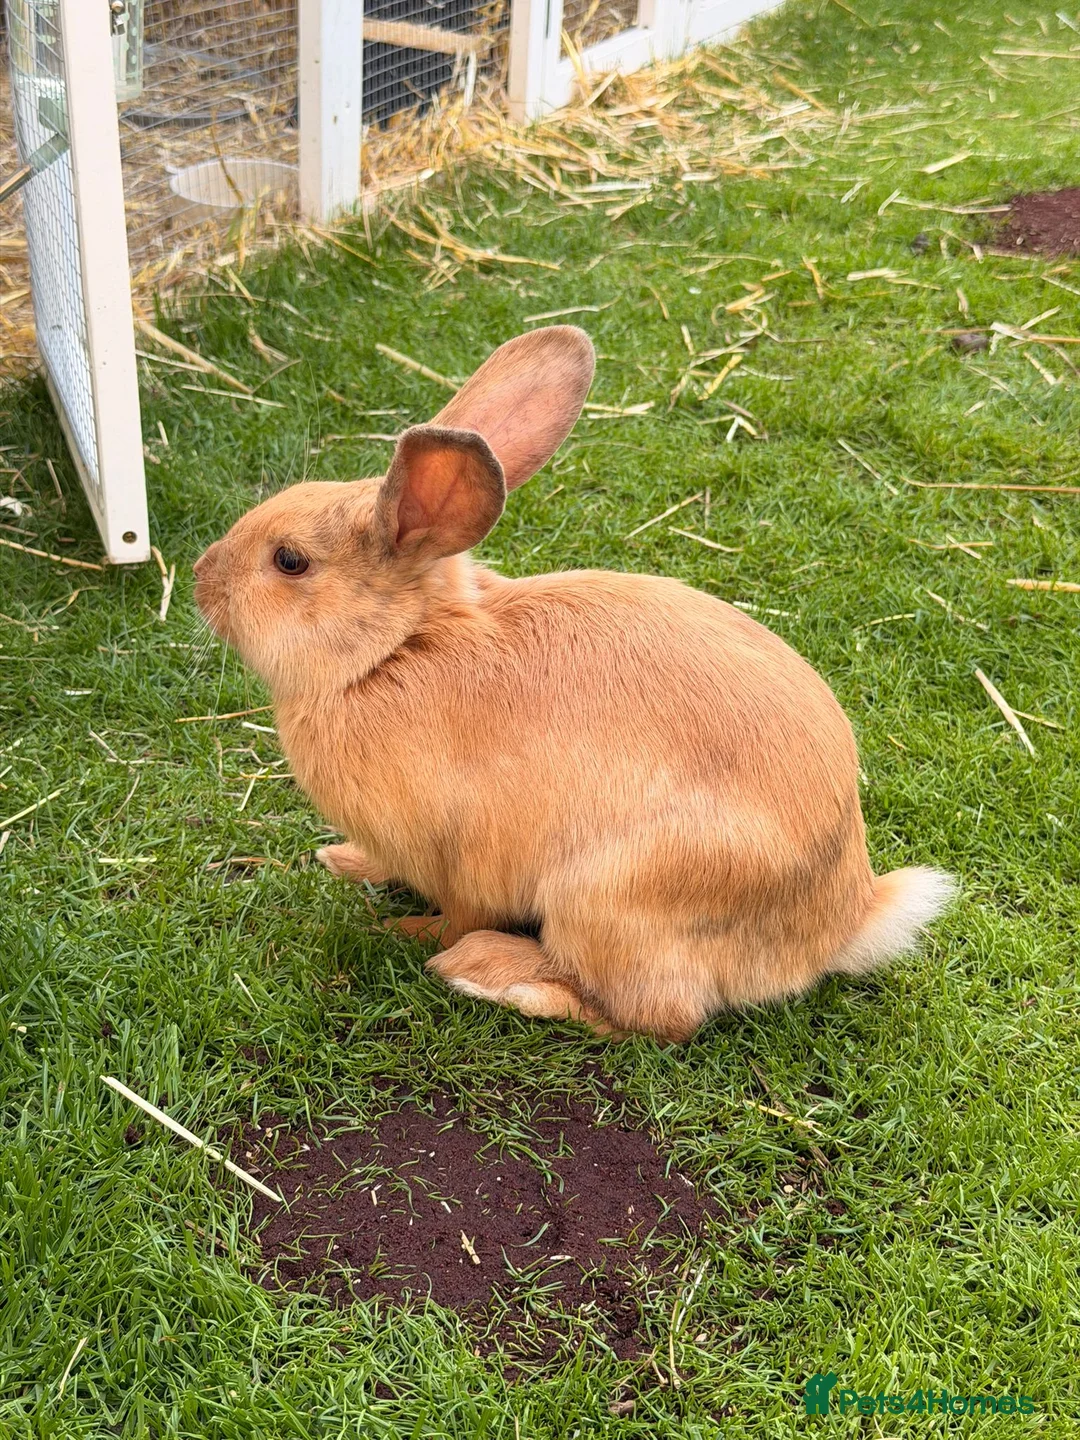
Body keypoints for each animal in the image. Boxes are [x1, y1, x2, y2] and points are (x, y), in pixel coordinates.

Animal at [194, 325, 955, 1042]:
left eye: (290, 561)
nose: (202, 578)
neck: (392, 652)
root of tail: (842, 924)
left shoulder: (466, 855)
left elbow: (454, 912)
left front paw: (401, 934)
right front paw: (344, 861)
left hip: (611, 900)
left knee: (656, 1018)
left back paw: (492, 974)